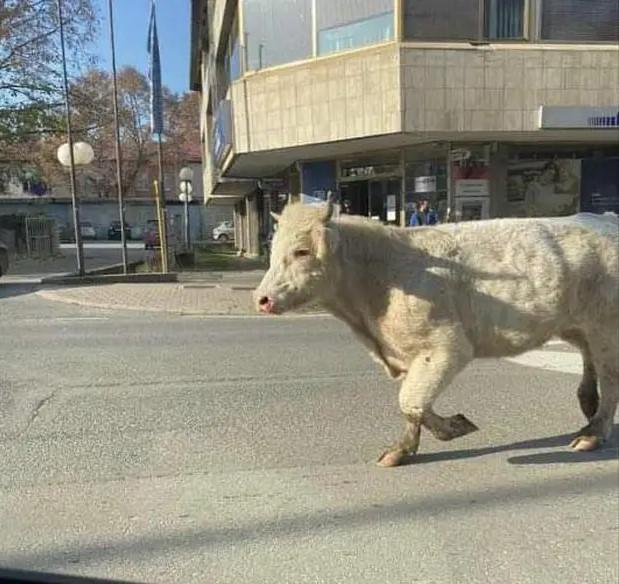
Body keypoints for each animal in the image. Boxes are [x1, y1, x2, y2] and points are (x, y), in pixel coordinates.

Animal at [253, 203, 619, 468]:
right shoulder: (407, 352)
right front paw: (403, 448)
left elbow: (410, 400)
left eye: (302, 251)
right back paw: (589, 409)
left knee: (611, 378)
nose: (262, 299)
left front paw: (453, 428)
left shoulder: (446, 347)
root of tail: (604, 217)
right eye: (273, 250)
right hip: (579, 326)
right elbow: (413, 403)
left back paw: (594, 433)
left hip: (606, 328)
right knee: (590, 363)